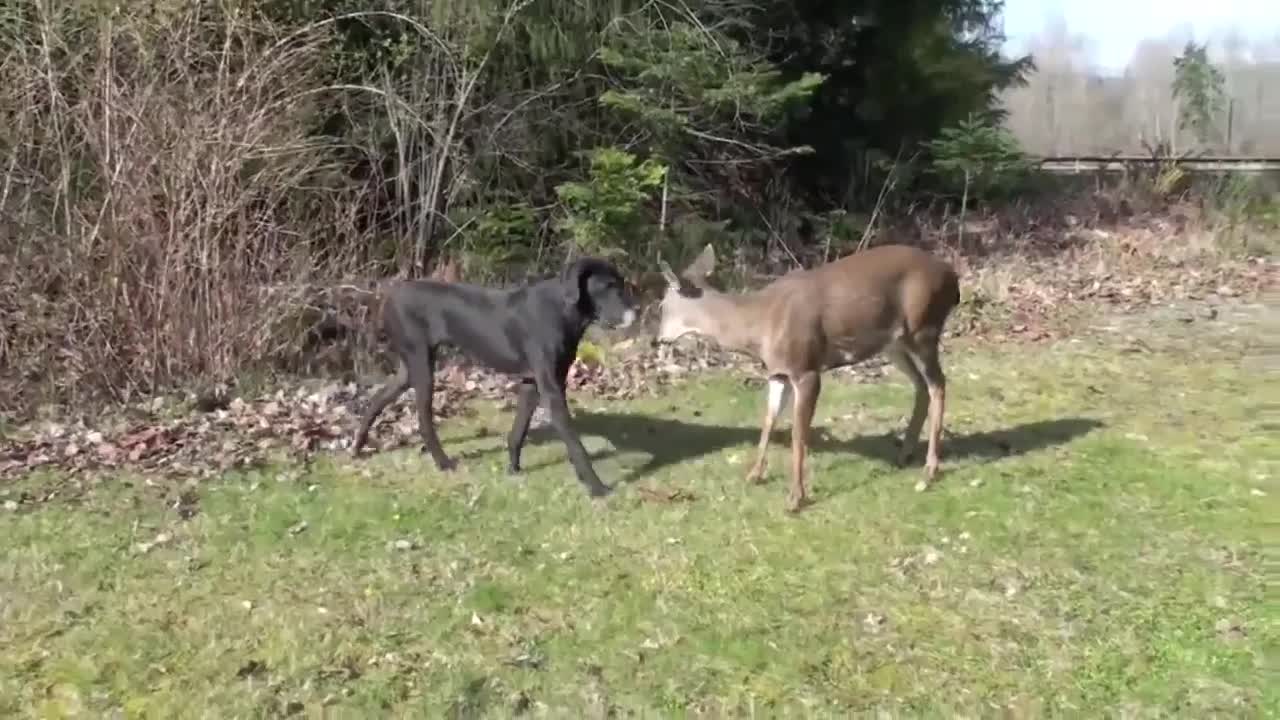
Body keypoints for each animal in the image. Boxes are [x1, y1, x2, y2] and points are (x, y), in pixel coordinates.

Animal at [353, 254, 637, 497]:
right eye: (608, 286)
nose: (635, 313)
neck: (562, 309)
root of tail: (390, 296)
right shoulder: (552, 388)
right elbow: (575, 443)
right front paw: (596, 487)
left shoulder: (532, 383)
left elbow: (518, 432)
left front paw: (513, 468)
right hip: (421, 366)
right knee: (423, 421)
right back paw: (443, 463)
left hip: (409, 367)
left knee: (377, 399)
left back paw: (358, 445)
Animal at [660, 242, 962, 509]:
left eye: (662, 305)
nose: (657, 339)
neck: (758, 326)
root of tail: (953, 278)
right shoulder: (778, 373)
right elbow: (768, 420)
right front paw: (754, 474)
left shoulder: (806, 369)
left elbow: (798, 434)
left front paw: (795, 498)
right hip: (894, 343)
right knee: (921, 385)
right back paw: (905, 454)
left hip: (923, 328)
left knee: (938, 384)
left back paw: (930, 470)